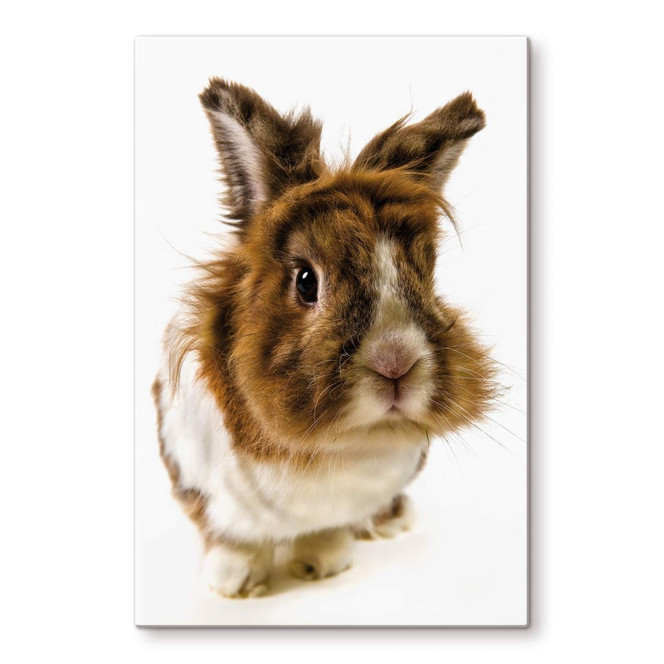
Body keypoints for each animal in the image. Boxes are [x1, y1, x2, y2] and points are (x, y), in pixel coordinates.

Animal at [152, 78, 497, 598]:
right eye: (305, 281)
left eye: (426, 275)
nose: (396, 364)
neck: (332, 448)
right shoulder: (197, 479)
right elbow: (230, 539)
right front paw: (234, 584)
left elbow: (327, 531)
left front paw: (321, 564)